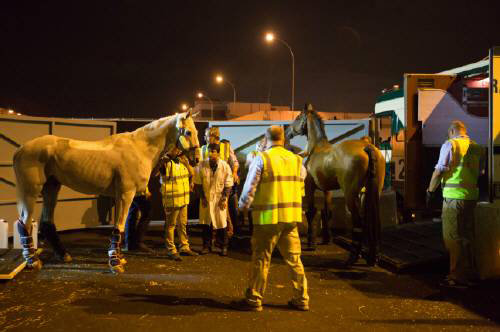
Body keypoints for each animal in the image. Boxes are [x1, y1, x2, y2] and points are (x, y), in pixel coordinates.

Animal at [12, 111, 199, 272]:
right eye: (188, 132)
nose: (196, 159)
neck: (139, 148)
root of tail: (20, 149)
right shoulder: (125, 194)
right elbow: (119, 226)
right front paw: (115, 262)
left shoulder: (126, 195)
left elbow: (123, 225)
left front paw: (121, 255)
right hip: (30, 192)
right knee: (24, 222)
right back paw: (33, 261)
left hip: (52, 188)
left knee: (46, 221)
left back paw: (63, 255)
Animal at [288, 105, 384, 266]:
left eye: (297, 117)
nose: (288, 132)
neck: (316, 147)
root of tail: (367, 147)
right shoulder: (327, 190)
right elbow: (327, 212)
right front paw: (327, 239)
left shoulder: (310, 188)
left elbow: (311, 212)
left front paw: (311, 243)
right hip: (370, 192)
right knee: (372, 221)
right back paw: (372, 257)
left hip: (351, 195)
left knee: (359, 223)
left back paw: (352, 257)